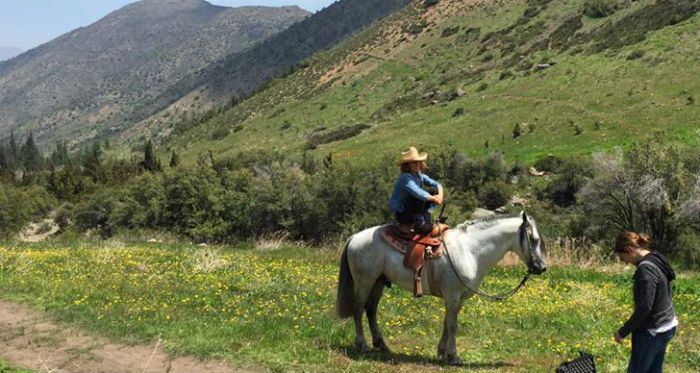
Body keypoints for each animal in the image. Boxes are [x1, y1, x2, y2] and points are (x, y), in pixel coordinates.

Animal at [334, 212, 548, 364]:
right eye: (534, 240)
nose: (541, 267)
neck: (469, 250)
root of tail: (354, 238)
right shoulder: (452, 295)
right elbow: (453, 325)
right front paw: (454, 356)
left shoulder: (458, 298)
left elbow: (447, 322)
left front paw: (442, 352)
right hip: (365, 281)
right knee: (358, 309)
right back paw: (362, 345)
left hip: (378, 282)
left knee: (371, 310)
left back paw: (381, 344)